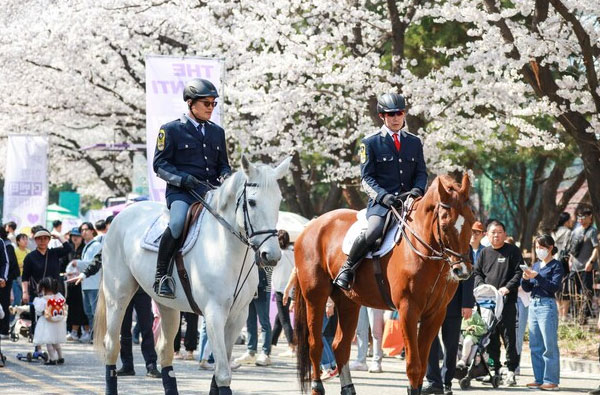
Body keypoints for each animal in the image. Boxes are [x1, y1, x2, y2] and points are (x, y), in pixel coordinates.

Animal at [92, 157, 292, 395]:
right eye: (252, 202)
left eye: (278, 201)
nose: (271, 255)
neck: (224, 246)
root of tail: (123, 214)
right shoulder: (214, 313)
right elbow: (223, 374)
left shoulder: (238, 316)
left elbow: (220, 371)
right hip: (118, 296)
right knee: (112, 345)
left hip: (167, 305)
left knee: (165, 351)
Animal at [294, 176, 474, 395]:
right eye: (446, 226)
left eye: (471, 221)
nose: (462, 271)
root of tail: (310, 227)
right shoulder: (408, 310)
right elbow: (414, 366)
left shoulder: (435, 314)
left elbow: (422, 366)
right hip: (315, 298)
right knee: (315, 344)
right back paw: (317, 387)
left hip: (348, 302)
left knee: (340, 346)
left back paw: (348, 388)